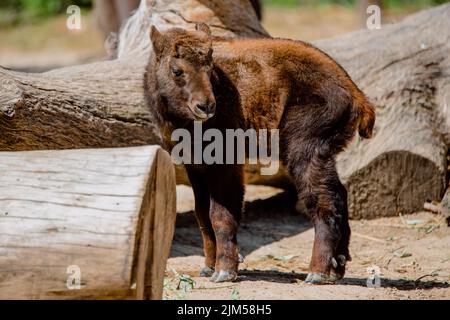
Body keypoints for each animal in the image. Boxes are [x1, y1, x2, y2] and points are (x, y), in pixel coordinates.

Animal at [143, 23, 372, 282]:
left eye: (210, 68)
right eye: (177, 70)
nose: (206, 106)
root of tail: (354, 92)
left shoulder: (225, 164)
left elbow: (220, 215)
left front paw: (224, 271)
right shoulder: (196, 168)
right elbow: (202, 215)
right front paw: (209, 267)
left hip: (305, 153)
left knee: (324, 204)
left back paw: (317, 273)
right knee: (340, 195)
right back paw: (336, 269)